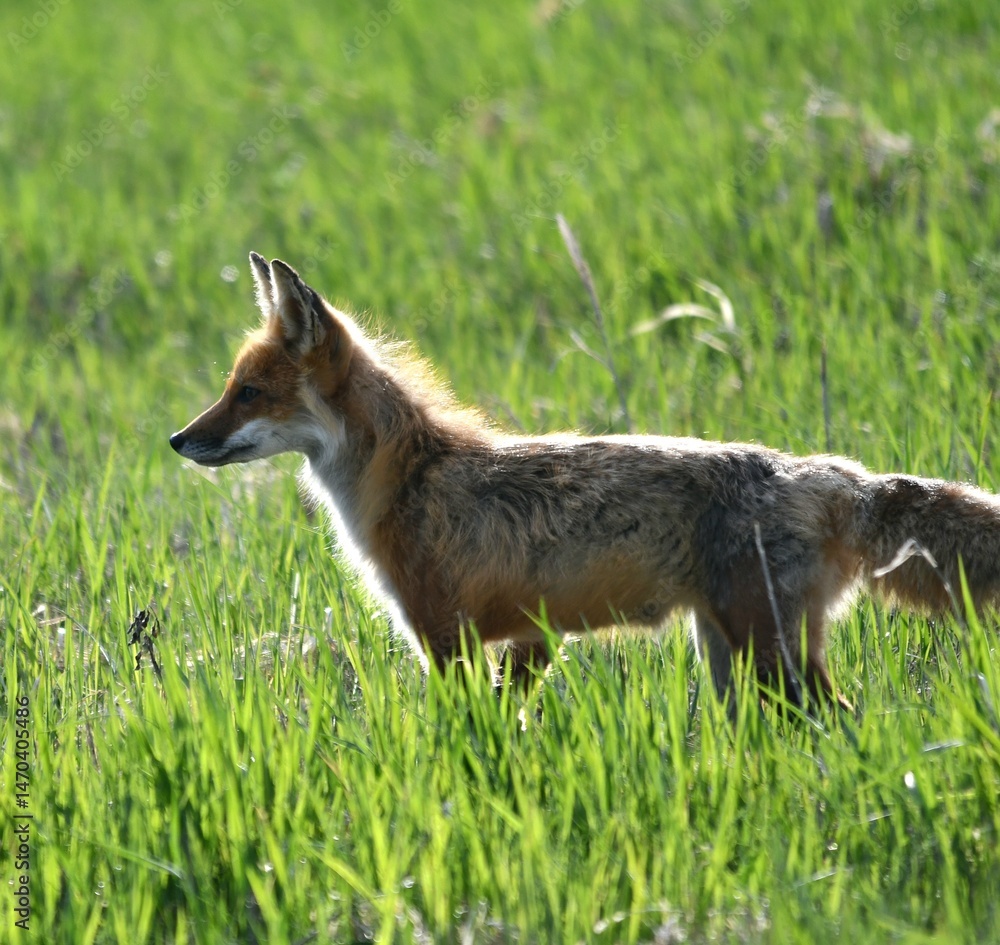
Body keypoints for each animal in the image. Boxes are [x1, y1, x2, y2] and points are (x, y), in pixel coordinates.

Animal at [171, 253, 1000, 709]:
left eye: (249, 393)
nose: (179, 439)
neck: (410, 478)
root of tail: (833, 473)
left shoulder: (444, 635)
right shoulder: (530, 638)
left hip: (770, 659)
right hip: (730, 657)